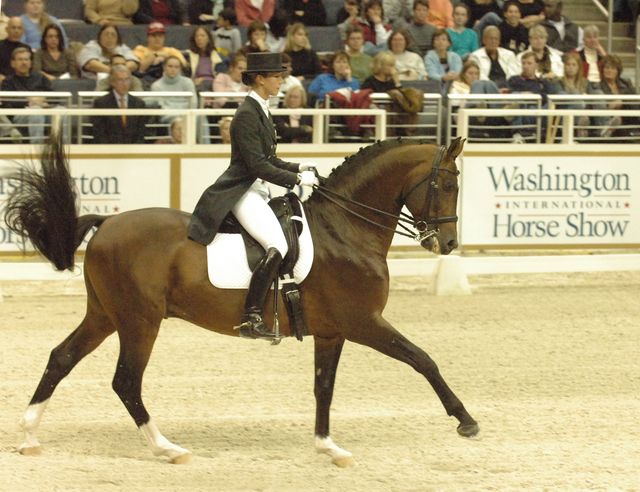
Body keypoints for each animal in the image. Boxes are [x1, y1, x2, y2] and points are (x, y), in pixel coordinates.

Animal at [3, 131, 476, 466]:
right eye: (447, 184)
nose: (449, 244)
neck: (344, 229)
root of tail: (106, 224)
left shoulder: (333, 331)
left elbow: (323, 387)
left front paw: (328, 447)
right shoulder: (364, 322)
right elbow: (422, 359)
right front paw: (466, 422)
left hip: (105, 315)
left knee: (61, 358)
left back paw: (29, 436)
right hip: (140, 321)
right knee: (126, 381)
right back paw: (167, 448)